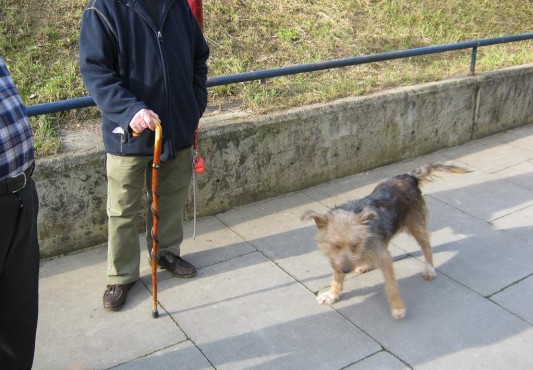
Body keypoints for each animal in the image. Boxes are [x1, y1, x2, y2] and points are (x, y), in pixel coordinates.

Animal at [302, 163, 468, 320]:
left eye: (355, 245)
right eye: (335, 246)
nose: (346, 270)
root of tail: (409, 177)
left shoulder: (384, 259)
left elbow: (391, 285)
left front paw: (397, 307)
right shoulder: (338, 260)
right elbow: (336, 277)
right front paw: (332, 294)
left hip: (417, 225)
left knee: (426, 246)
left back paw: (429, 269)